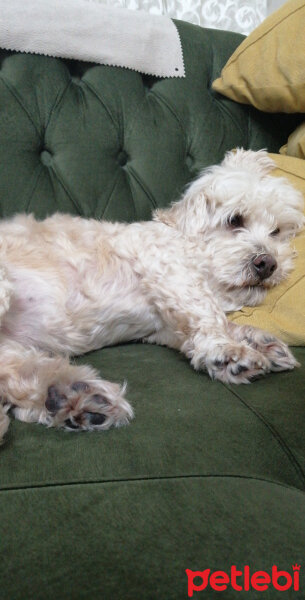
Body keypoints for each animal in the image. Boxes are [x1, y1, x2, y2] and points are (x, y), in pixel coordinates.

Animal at [0, 149, 302, 440]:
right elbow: (208, 312)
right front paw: (228, 350)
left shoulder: (164, 327)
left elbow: (210, 328)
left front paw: (257, 340)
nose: (268, 263)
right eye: (235, 220)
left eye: (276, 231)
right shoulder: (167, 267)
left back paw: (71, 398)